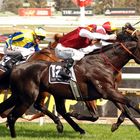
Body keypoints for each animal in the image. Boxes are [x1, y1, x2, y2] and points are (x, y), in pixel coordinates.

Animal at [0, 24, 140, 137]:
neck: (103, 62)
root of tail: (16, 68)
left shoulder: (111, 91)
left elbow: (126, 110)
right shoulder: (105, 92)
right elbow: (130, 104)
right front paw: (75, 114)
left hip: (28, 94)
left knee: (55, 109)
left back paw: (71, 127)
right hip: (28, 97)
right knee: (18, 113)